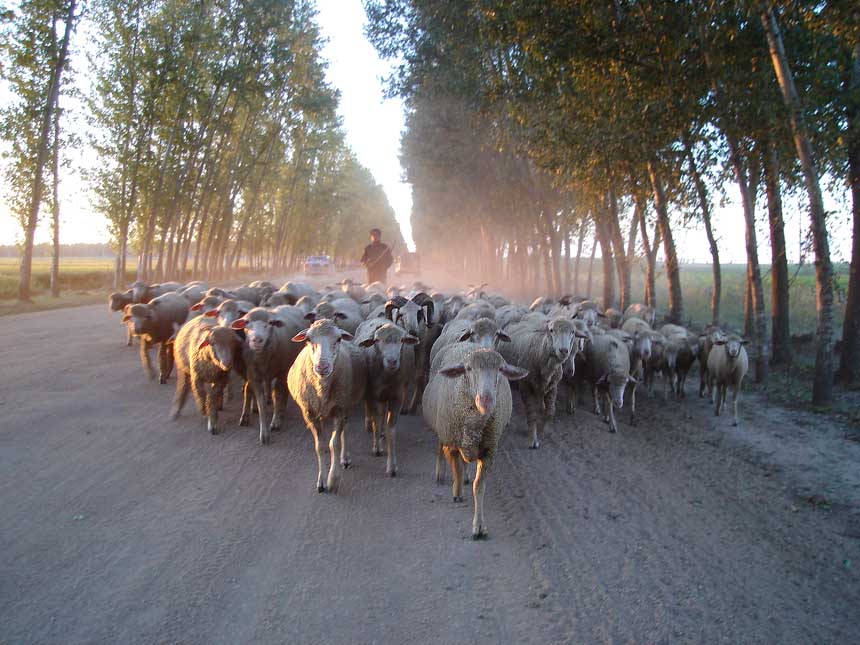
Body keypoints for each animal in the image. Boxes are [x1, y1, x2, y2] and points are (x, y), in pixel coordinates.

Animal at [230, 306, 304, 442]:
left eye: (270, 323)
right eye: (247, 323)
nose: (257, 340)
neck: (262, 357)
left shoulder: (282, 372)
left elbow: (278, 395)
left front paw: (275, 422)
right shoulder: (254, 376)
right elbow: (261, 403)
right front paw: (264, 433)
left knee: (284, 390)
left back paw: (282, 410)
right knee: (251, 389)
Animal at [288, 318, 366, 494]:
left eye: (338, 339)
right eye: (309, 339)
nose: (322, 367)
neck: (322, 389)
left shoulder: (341, 410)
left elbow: (334, 444)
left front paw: (333, 480)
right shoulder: (310, 415)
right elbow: (320, 446)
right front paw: (321, 481)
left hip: (347, 405)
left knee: (344, 431)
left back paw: (344, 458)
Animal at [354, 318, 418, 476]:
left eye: (402, 340)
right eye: (377, 340)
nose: (392, 361)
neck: (388, 377)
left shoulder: (396, 397)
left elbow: (391, 430)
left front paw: (392, 466)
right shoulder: (373, 394)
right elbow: (376, 420)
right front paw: (377, 448)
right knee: (372, 412)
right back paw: (370, 426)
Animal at [422, 348, 528, 540]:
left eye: (501, 369)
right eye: (469, 369)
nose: (486, 400)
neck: (475, 425)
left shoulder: (489, 451)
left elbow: (478, 487)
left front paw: (479, 527)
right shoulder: (451, 444)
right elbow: (456, 469)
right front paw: (457, 493)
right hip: (442, 428)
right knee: (441, 448)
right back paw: (441, 473)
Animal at [498, 314, 576, 446]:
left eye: (573, 332)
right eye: (551, 330)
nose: (564, 351)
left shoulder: (553, 386)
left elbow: (550, 412)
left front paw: (541, 428)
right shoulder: (525, 386)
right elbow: (532, 413)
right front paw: (533, 438)